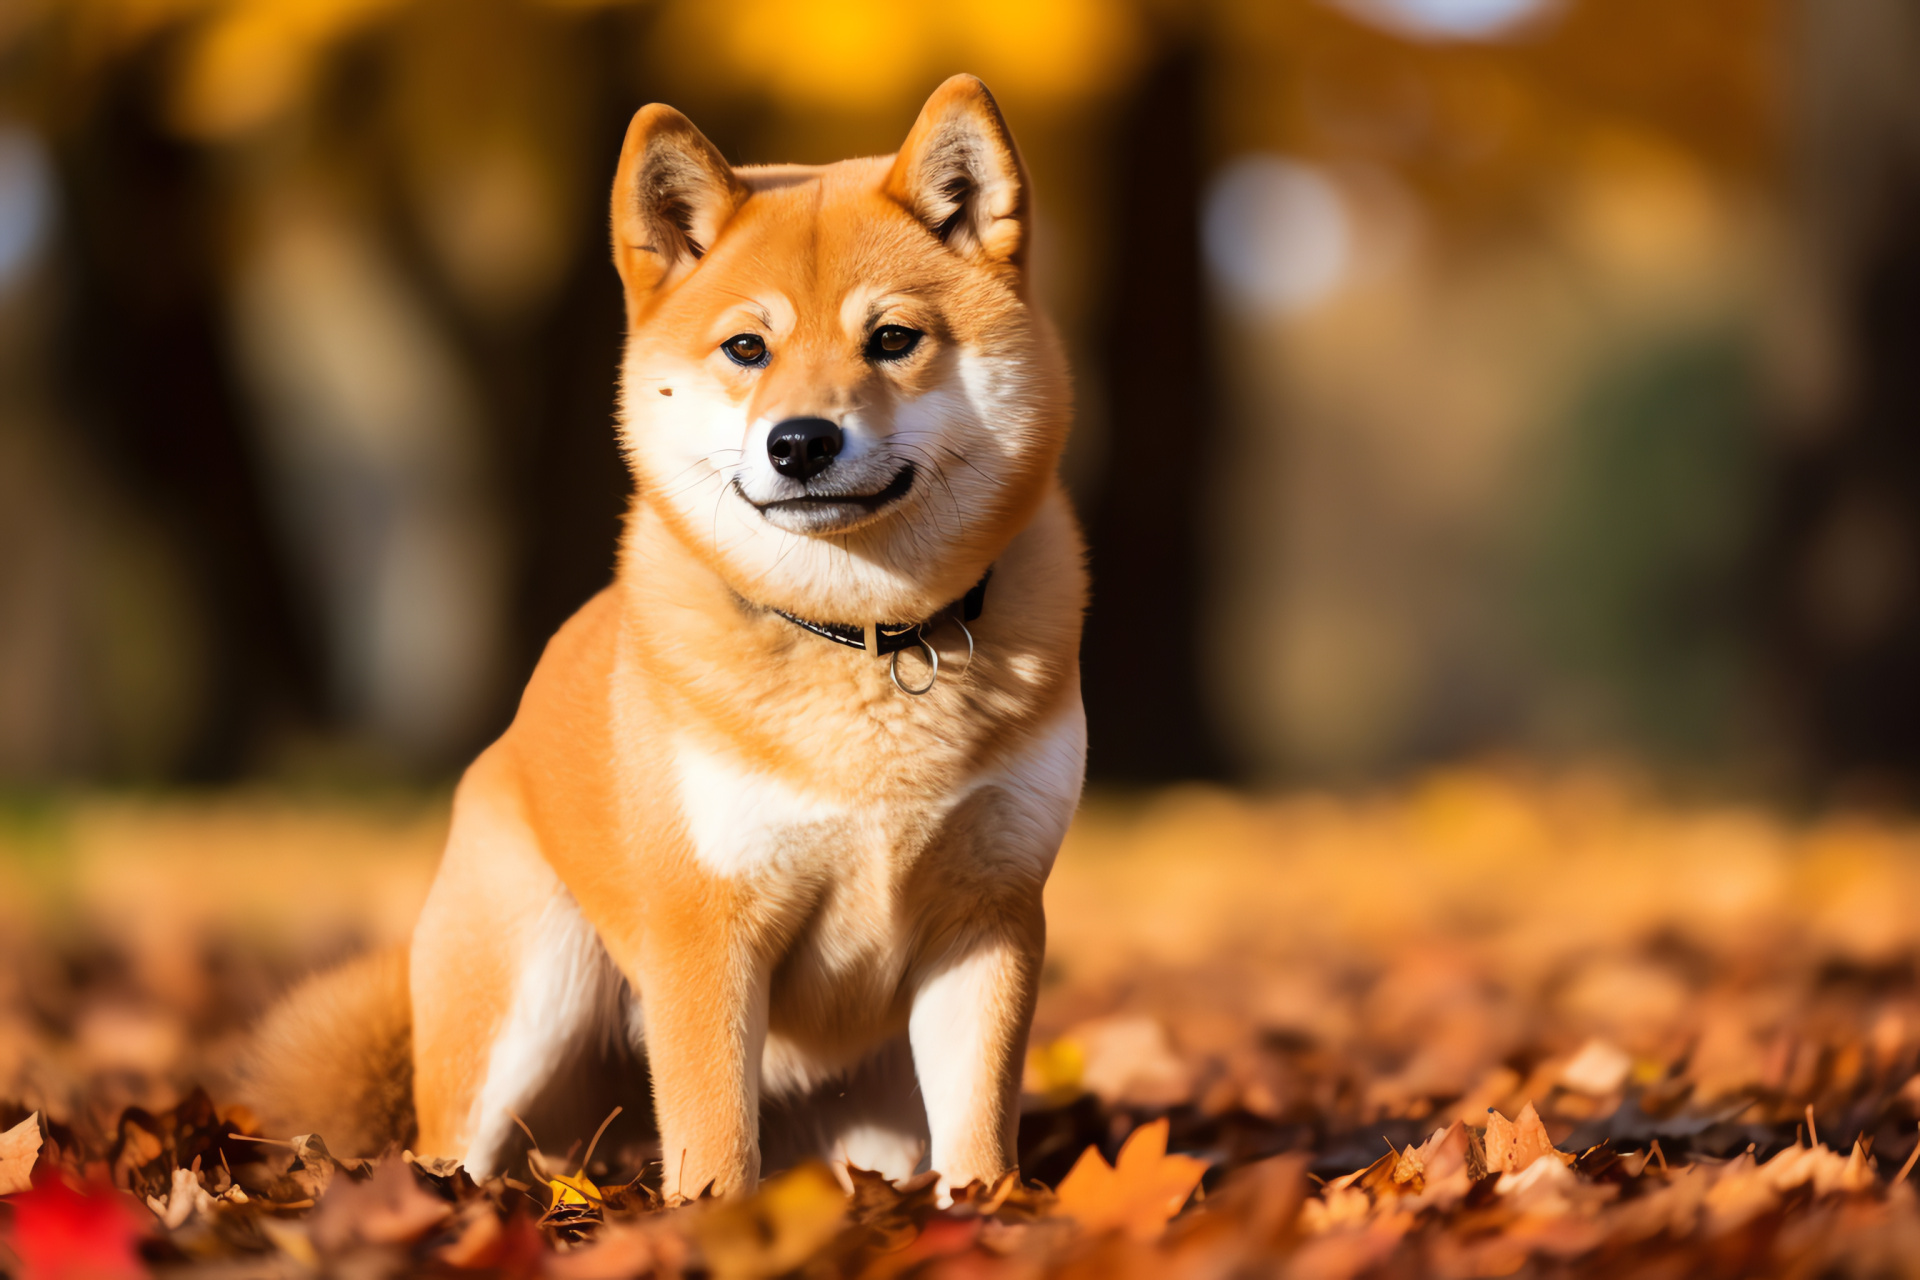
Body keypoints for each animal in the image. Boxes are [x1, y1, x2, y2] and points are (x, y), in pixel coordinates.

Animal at [241, 77, 1090, 1205]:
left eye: (894, 339)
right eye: (746, 348)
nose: (801, 441)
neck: (863, 635)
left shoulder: (990, 918)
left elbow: (981, 1143)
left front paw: (989, 1219)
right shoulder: (705, 928)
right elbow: (717, 1141)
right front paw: (719, 1223)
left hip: (869, 1113)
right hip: (530, 998)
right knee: (457, 1147)